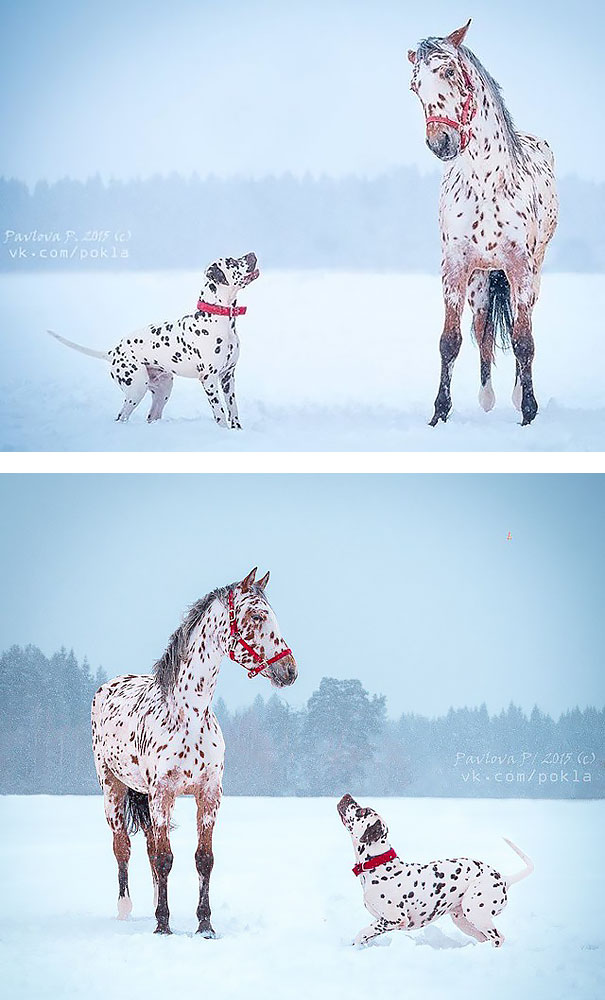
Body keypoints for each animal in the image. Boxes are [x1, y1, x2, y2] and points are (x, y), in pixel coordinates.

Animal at [48, 252, 258, 428]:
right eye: (231, 262)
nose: (252, 254)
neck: (219, 319)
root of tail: (113, 352)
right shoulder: (209, 379)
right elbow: (220, 413)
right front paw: (223, 431)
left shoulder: (228, 376)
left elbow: (233, 408)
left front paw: (237, 430)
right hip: (136, 389)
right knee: (121, 417)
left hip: (163, 390)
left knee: (151, 416)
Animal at [91, 572, 296, 936]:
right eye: (257, 616)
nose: (289, 670)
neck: (189, 716)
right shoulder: (162, 793)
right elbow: (164, 859)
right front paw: (163, 925)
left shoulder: (208, 794)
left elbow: (203, 859)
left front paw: (205, 925)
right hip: (113, 790)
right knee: (123, 848)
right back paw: (125, 909)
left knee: (148, 847)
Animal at [338, 792, 532, 948]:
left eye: (361, 812)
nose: (347, 795)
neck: (379, 865)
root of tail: (504, 879)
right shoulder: (383, 920)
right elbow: (368, 933)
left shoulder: (396, 919)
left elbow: (363, 932)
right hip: (464, 920)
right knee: (487, 938)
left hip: (476, 913)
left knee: (499, 938)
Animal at [408, 20, 560, 426]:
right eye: (414, 86)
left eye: (448, 71)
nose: (441, 142)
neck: (485, 182)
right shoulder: (456, 267)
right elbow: (450, 341)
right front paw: (439, 414)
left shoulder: (520, 267)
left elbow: (524, 341)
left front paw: (528, 412)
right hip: (480, 280)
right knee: (483, 328)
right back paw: (487, 397)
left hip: (530, 274)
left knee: (523, 326)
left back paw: (515, 395)